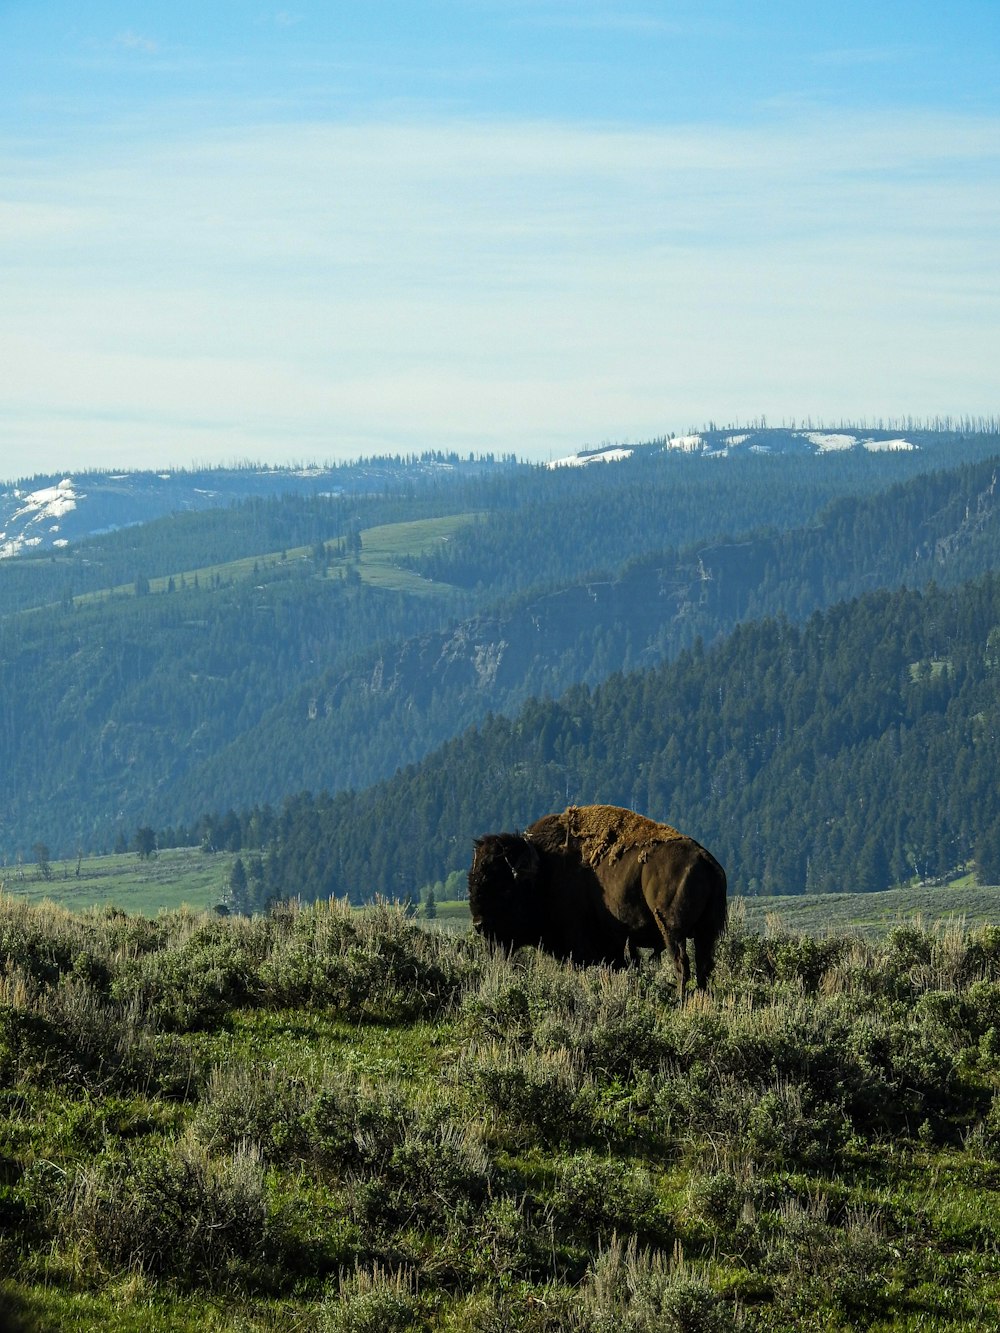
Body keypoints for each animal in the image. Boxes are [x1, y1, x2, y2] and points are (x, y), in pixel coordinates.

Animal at [469, 799, 730, 1002]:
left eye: (504, 888)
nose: (479, 925)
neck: (545, 868)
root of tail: (706, 860)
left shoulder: (579, 944)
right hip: (705, 932)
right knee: (703, 965)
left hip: (672, 930)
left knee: (681, 963)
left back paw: (680, 999)